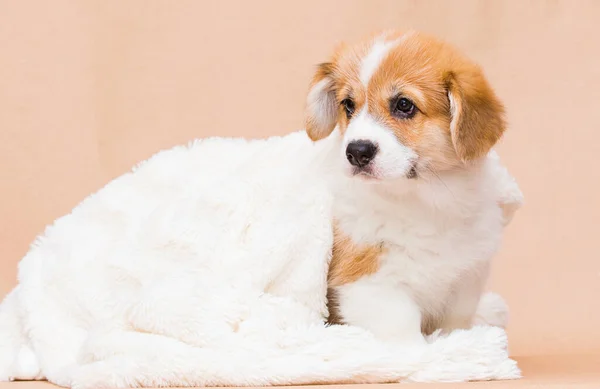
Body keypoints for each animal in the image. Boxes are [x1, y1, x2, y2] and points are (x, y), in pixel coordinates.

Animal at [308, 31, 524, 344]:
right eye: (348, 105)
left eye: (404, 105)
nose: (356, 151)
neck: (420, 200)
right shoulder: (369, 283)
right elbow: (405, 333)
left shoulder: (465, 280)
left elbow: (454, 326)